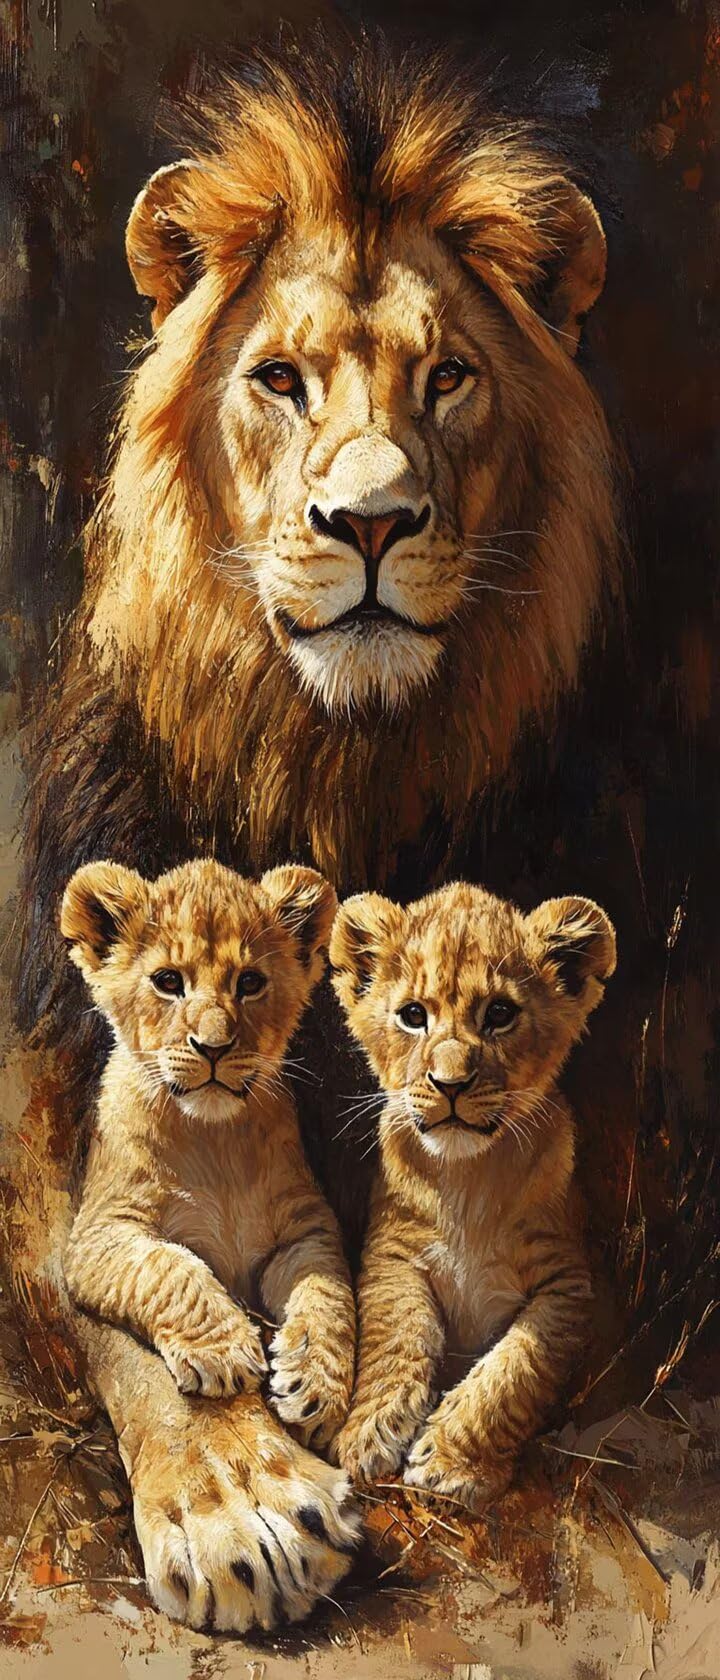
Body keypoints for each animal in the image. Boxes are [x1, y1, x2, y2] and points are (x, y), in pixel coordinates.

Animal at [329, 880, 616, 1510]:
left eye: (500, 1015)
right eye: (413, 1016)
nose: (450, 1084)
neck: (467, 1180)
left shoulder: (570, 1284)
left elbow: (516, 1369)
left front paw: (449, 1461)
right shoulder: (391, 1253)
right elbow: (395, 1332)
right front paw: (368, 1433)